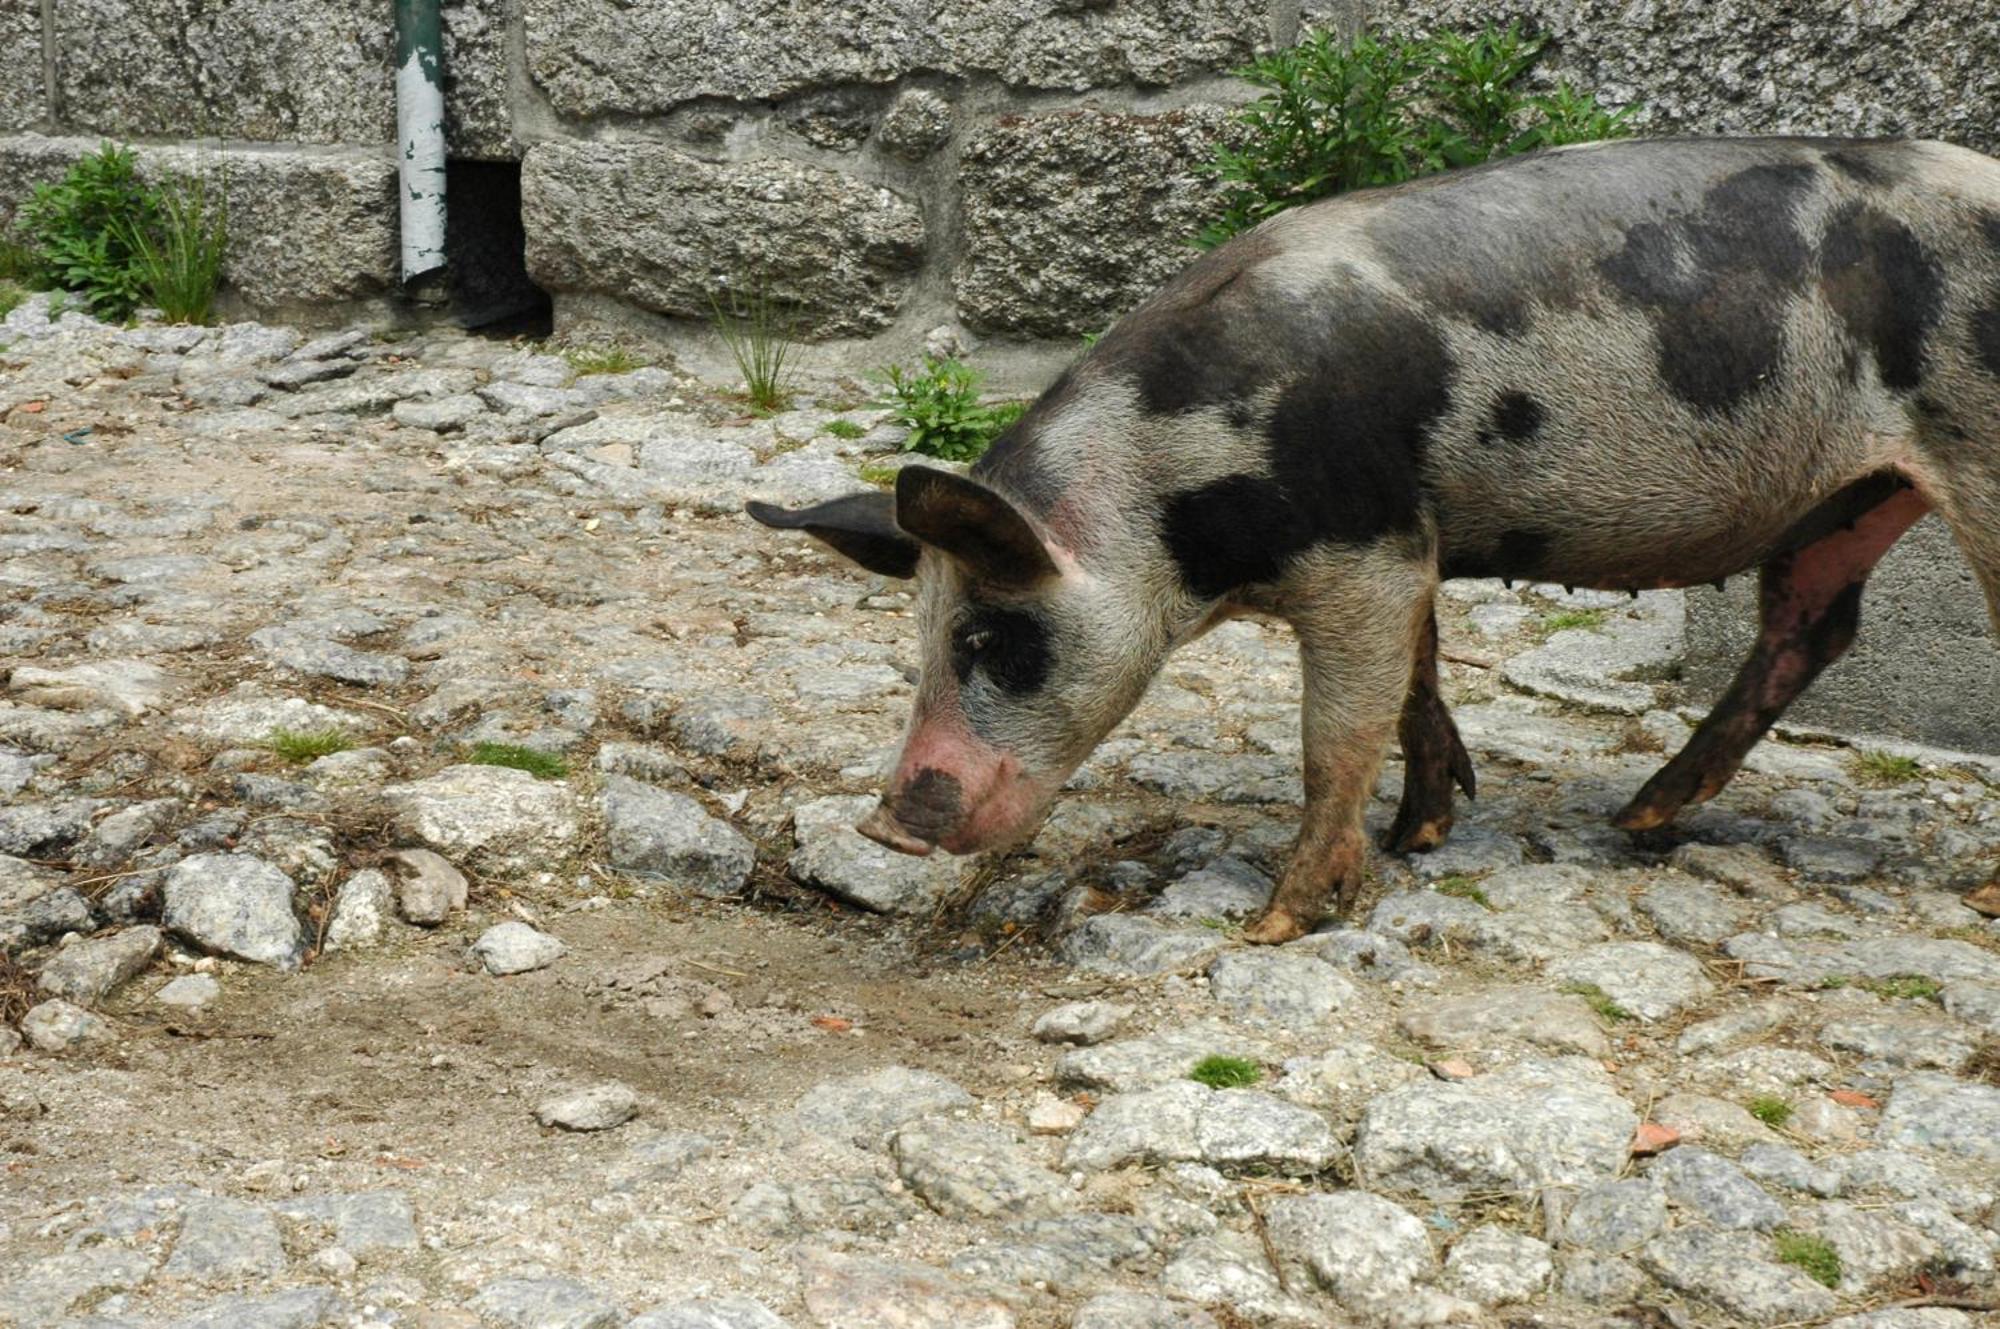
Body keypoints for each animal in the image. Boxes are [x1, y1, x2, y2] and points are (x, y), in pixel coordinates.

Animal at [752, 137, 2000, 944]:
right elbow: (1416, 685)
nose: (885, 821)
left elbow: (1336, 730)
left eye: (989, 638)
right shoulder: (1413, 541)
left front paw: (1275, 924)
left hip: (1973, 449)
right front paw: (1421, 837)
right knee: (1809, 627)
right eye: (920, 639)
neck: (1169, 500)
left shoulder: (1364, 550)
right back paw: (1638, 818)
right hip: (1846, 500)